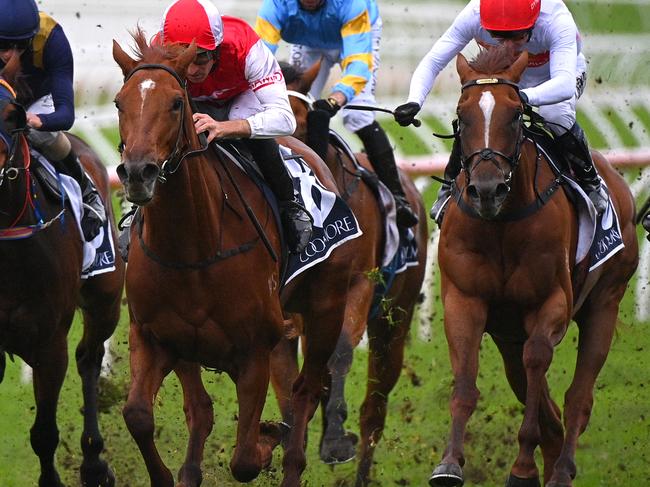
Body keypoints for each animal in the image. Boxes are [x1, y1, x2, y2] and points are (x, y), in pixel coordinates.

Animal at [0, 54, 124, 487]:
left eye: (12, 116)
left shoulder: (49, 343)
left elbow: (44, 433)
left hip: (105, 298)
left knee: (89, 356)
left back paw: (94, 462)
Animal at [112, 31, 354, 487]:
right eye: (119, 102)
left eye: (177, 103)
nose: (137, 173)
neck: (193, 248)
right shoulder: (154, 337)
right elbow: (137, 415)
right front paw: (171, 474)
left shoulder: (254, 350)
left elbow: (244, 461)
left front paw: (267, 437)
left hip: (327, 308)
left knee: (305, 391)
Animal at [276, 59, 428, 486]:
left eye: (300, 124)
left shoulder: (359, 284)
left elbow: (342, 351)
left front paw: (332, 438)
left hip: (394, 323)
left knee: (373, 411)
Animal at [428, 45, 636, 487]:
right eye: (461, 116)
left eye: (512, 115)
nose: (487, 189)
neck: (501, 222)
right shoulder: (464, 300)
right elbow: (466, 382)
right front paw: (450, 462)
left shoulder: (550, 302)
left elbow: (539, 360)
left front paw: (522, 467)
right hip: (508, 334)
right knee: (540, 399)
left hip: (605, 303)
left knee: (577, 398)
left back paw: (561, 469)